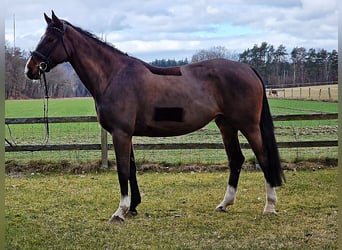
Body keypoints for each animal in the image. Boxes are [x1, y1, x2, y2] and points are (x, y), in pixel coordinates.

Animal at [25, 11, 284, 223]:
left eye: (49, 39)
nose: (30, 68)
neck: (113, 75)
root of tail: (247, 68)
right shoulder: (126, 134)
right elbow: (131, 169)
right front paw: (133, 207)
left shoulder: (120, 134)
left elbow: (122, 171)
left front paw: (119, 212)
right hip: (226, 125)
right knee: (236, 159)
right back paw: (225, 204)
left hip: (248, 126)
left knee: (263, 158)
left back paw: (269, 206)